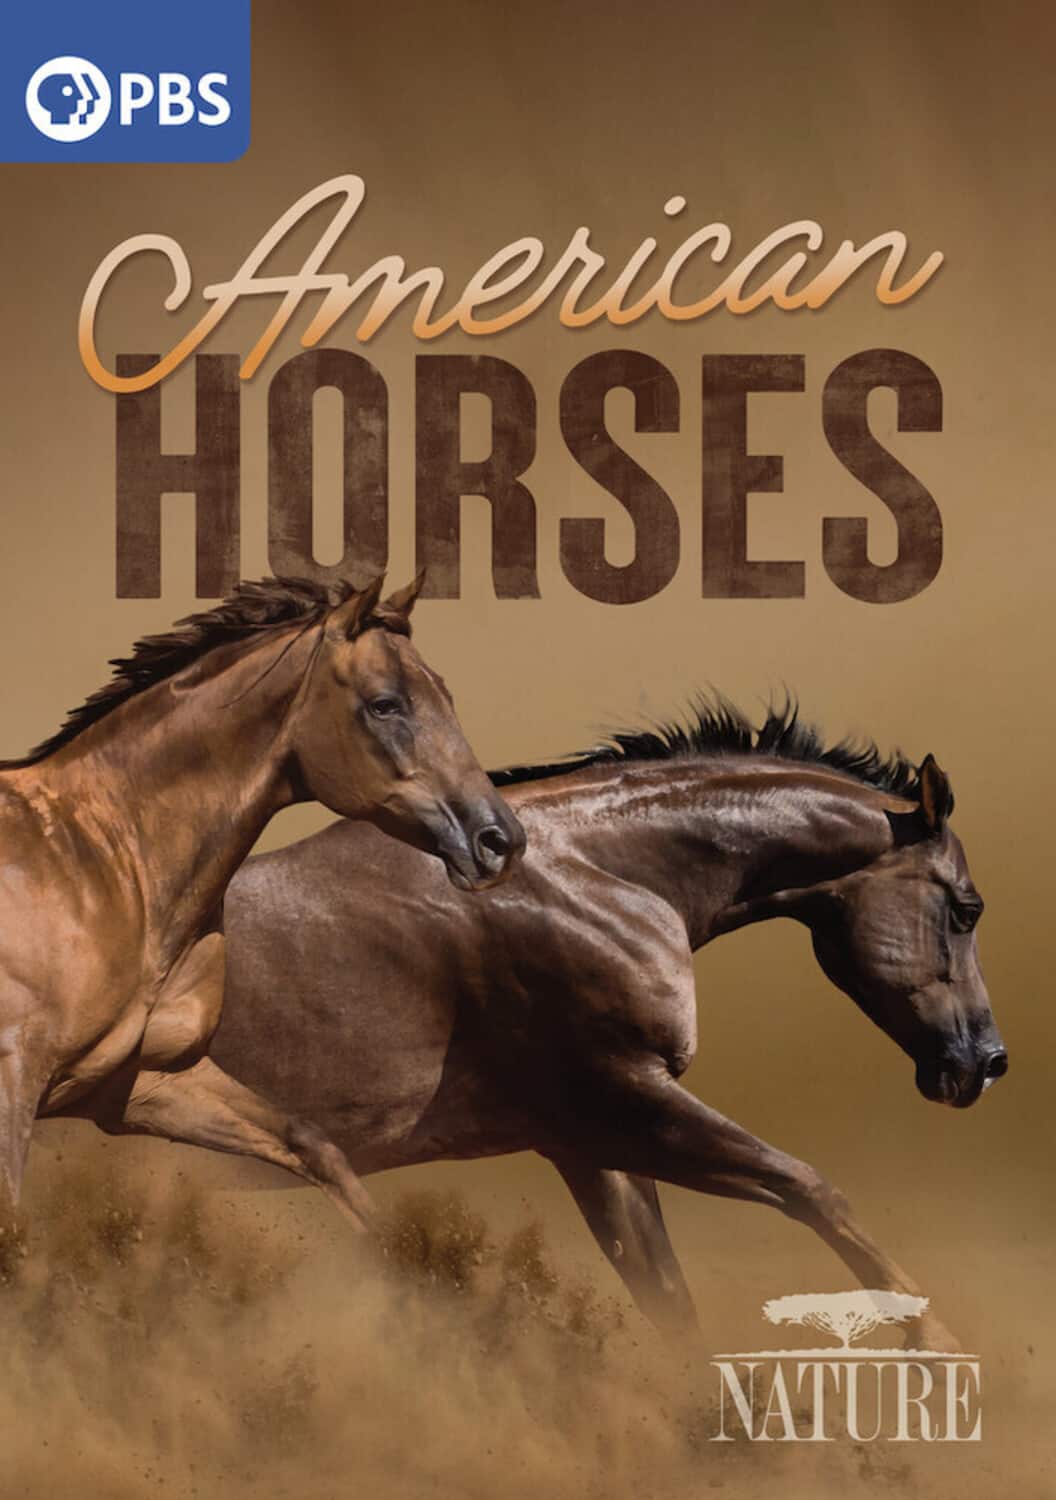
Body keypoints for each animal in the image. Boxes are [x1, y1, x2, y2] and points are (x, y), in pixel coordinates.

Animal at [0, 572, 524, 1227]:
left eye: (446, 694)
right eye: (385, 704)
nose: (499, 841)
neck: (108, 862)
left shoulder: (142, 1083)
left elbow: (317, 1150)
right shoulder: (16, 1083)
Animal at [166, 700, 1004, 1348]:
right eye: (966, 908)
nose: (985, 1061)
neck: (587, 876)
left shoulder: (589, 1144)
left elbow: (670, 1300)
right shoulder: (624, 1099)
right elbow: (810, 1188)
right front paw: (936, 1343)